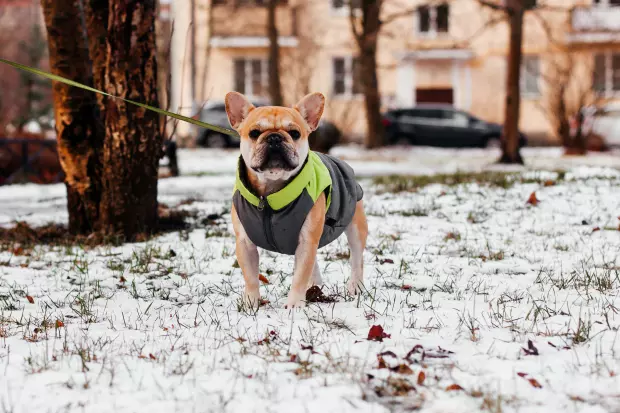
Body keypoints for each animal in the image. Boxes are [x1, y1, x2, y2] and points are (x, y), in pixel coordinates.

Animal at [226, 91, 368, 309]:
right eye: (254, 132)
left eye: (294, 133)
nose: (274, 138)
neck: (270, 193)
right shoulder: (244, 243)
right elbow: (250, 276)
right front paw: (251, 302)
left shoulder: (306, 240)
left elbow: (300, 275)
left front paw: (294, 305)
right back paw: (315, 285)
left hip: (355, 227)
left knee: (356, 258)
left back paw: (355, 287)